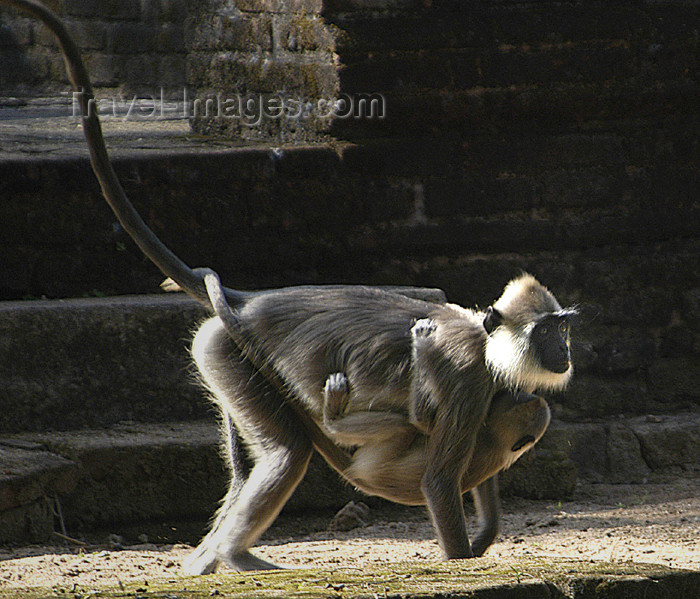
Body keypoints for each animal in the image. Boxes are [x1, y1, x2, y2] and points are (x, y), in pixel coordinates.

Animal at [2, 0, 576, 572]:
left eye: (564, 328)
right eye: (548, 331)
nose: (566, 351)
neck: (487, 341)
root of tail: (251, 305)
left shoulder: (496, 393)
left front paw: (486, 532)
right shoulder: (467, 378)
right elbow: (438, 478)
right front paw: (462, 555)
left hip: (222, 356)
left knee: (263, 456)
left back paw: (209, 558)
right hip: (235, 357)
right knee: (288, 452)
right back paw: (237, 555)